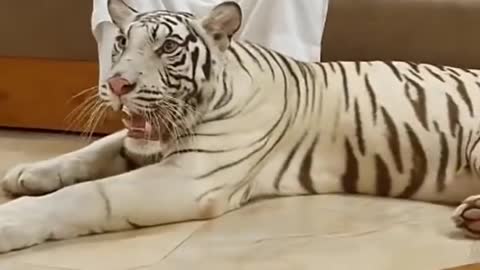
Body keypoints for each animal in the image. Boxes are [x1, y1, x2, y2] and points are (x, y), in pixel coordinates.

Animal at [0, 0, 480, 253]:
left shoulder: (189, 177)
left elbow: (85, 196)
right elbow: (93, 151)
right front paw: (28, 173)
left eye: (168, 48)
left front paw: (11, 219)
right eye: (120, 42)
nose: (116, 84)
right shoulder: (148, 145)